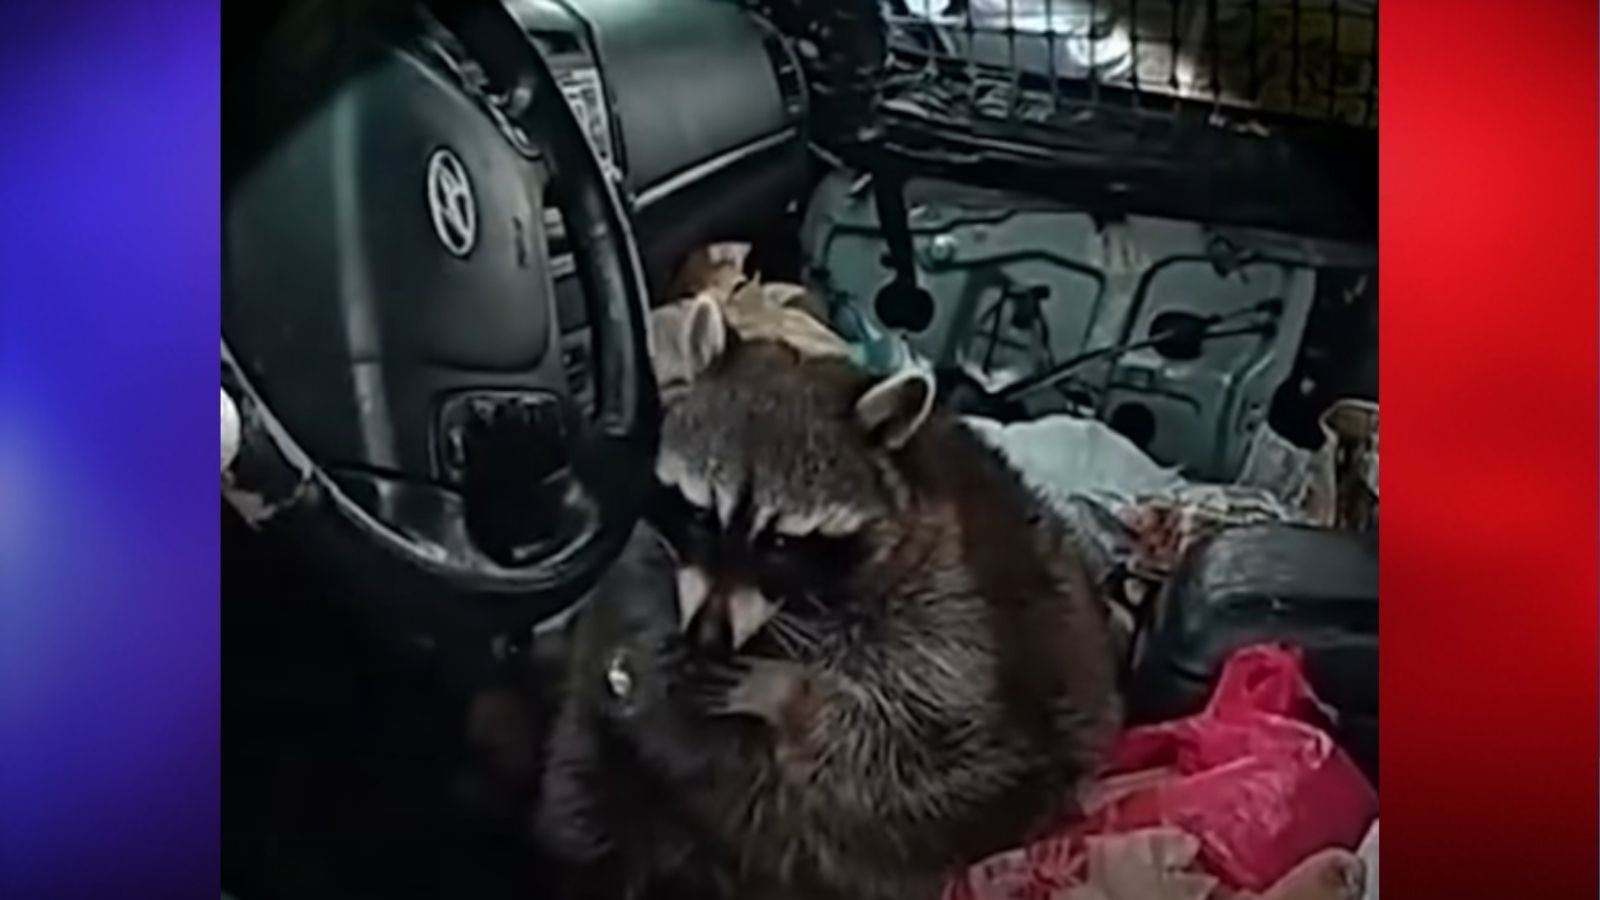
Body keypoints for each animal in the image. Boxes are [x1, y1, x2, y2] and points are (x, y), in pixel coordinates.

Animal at [633, 295, 1123, 900]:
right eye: (702, 514)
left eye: (780, 543)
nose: (707, 636)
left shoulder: (950, 608)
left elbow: (914, 743)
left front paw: (788, 692)